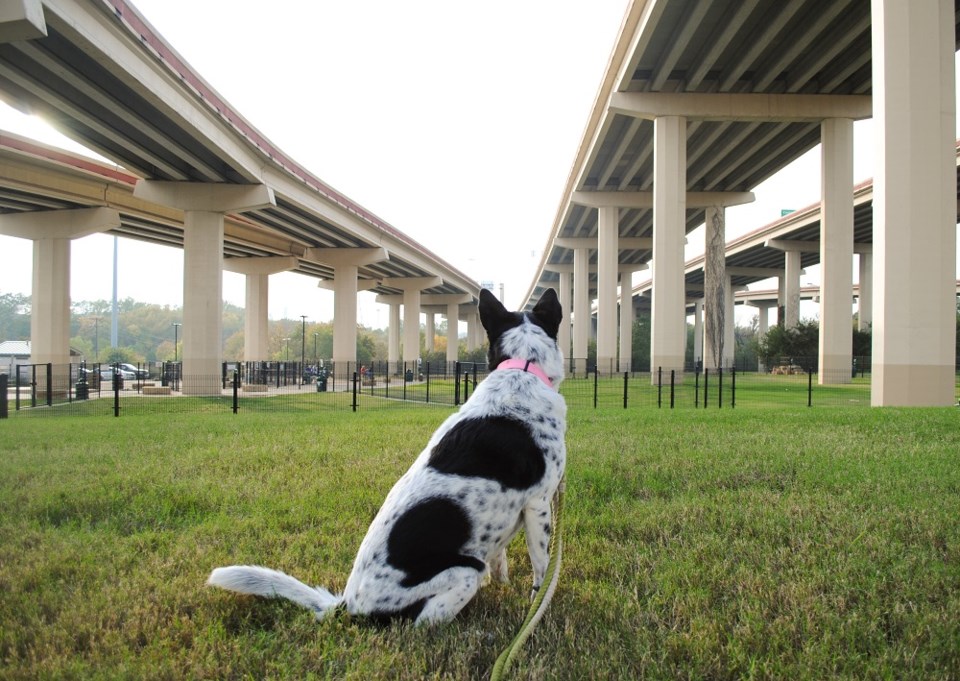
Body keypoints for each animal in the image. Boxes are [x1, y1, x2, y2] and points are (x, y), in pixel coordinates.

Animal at [209, 286, 568, 620]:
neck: (523, 367)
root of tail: (348, 605)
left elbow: (500, 560)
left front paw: (505, 585)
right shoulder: (538, 504)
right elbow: (542, 568)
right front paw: (540, 606)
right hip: (465, 569)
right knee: (423, 621)